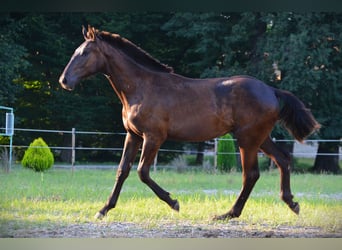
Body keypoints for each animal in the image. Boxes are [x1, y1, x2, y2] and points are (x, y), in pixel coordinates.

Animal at [58, 25, 320, 221]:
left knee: (251, 174)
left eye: (84, 53)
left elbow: (142, 172)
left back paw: (227, 214)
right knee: (282, 159)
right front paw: (103, 209)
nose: (64, 80)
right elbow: (122, 170)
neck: (142, 87)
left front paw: (174, 202)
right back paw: (291, 203)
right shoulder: (133, 135)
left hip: (247, 139)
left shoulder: (154, 137)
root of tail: (271, 90)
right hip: (260, 137)